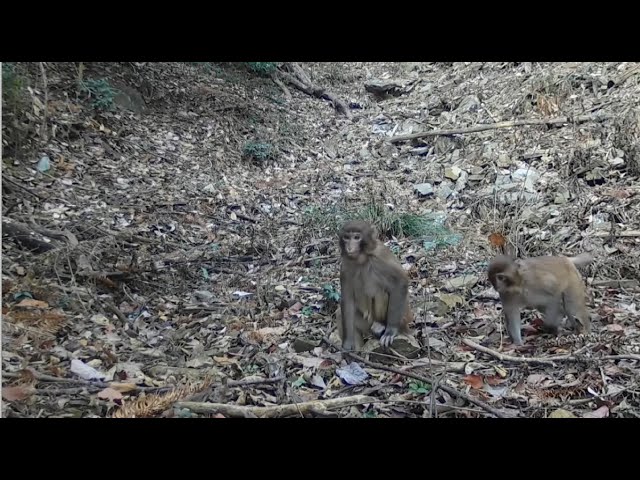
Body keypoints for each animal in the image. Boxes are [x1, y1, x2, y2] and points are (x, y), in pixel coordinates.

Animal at [336, 219, 416, 350]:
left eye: (357, 237)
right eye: (346, 238)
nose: (349, 247)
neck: (362, 259)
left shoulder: (380, 257)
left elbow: (400, 283)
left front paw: (391, 331)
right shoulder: (346, 266)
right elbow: (347, 300)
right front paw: (347, 343)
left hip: (403, 319)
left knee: (382, 293)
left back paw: (382, 325)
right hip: (368, 323)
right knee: (341, 314)